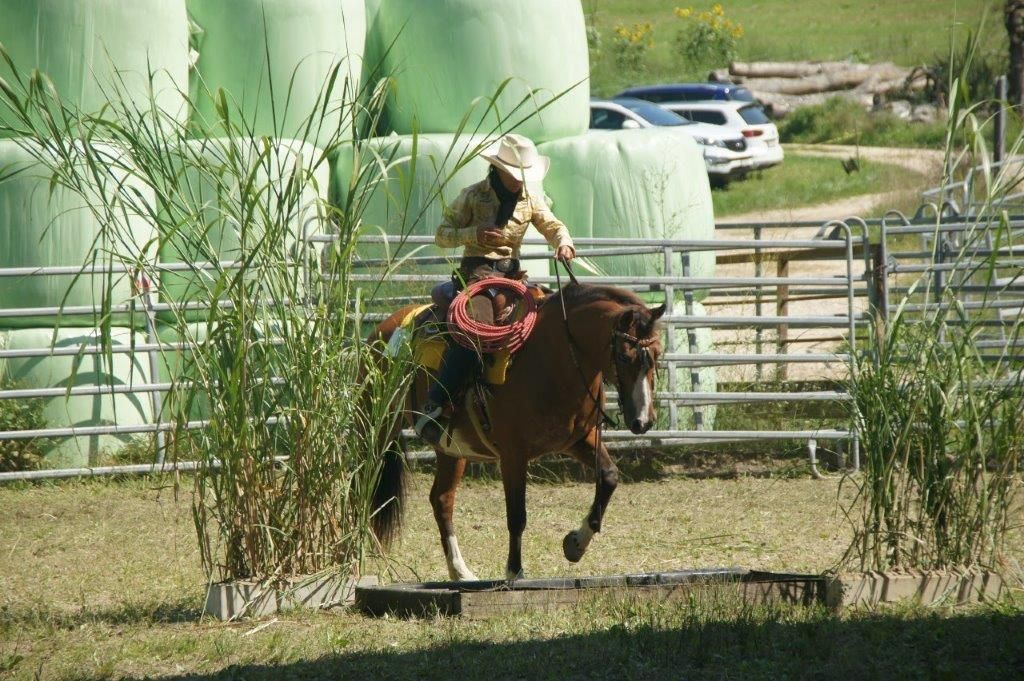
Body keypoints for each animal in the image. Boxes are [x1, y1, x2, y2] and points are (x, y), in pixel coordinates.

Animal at [369, 283, 665, 581]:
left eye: (658, 353)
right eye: (624, 356)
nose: (643, 420)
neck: (554, 358)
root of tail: (385, 326)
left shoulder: (578, 439)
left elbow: (609, 477)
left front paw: (576, 544)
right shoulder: (513, 453)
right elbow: (517, 514)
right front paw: (514, 571)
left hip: (450, 448)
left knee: (441, 500)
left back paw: (460, 571)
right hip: (376, 430)